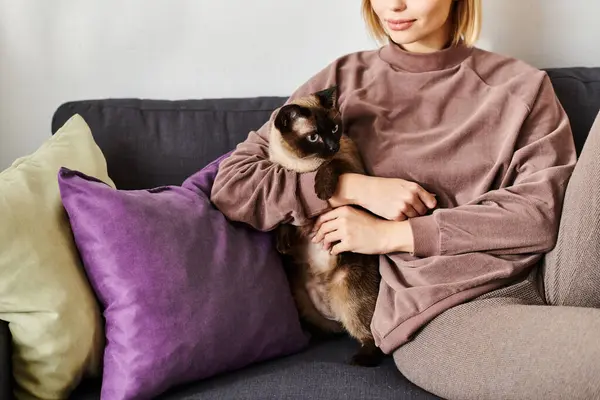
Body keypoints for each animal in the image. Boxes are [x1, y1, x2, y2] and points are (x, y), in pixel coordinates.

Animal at [268, 86, 382, 368]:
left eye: (334, 129)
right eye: (313, 136)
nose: (332, 146)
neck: (302, 167)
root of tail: (333, 311)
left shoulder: (347, 164)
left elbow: (331, 166)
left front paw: (321, 191)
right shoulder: (284, 182)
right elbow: (285, 218)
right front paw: (282, 242)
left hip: (350, 296)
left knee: (370, 337)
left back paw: (359, 359)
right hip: (300, 296)